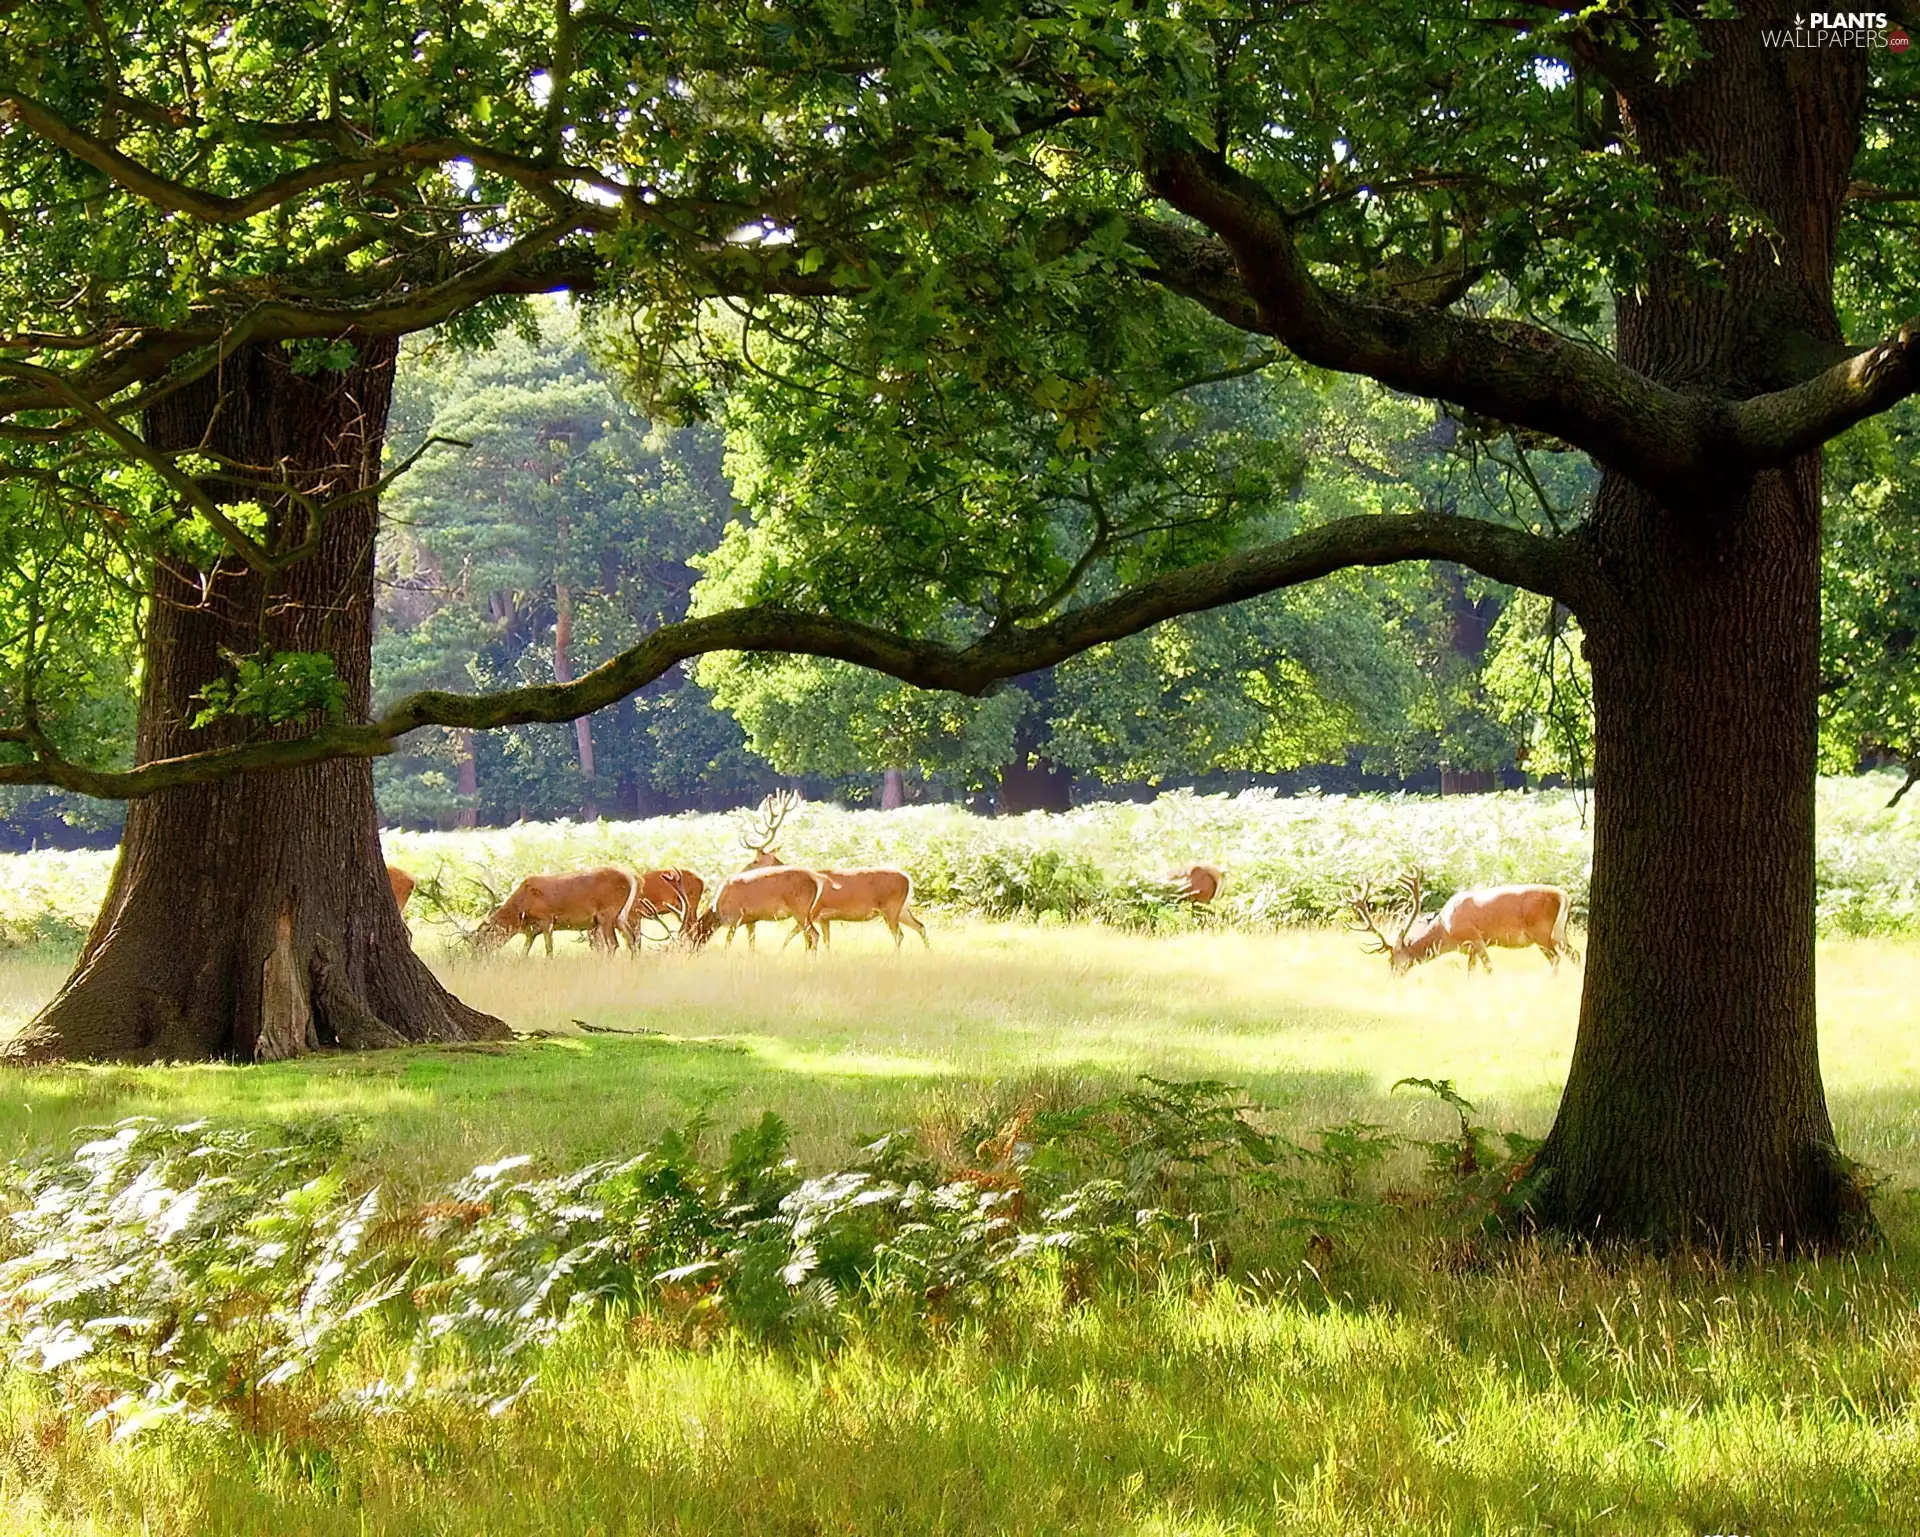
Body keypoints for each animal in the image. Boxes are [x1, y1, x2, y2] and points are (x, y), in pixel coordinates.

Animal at [737, 790, 929, 950]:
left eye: (755, 860)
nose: (741, 871)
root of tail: (908, 878)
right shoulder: (825, 919)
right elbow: (826, 943)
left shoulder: (811, 913)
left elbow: (792, 937)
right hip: (903, 909)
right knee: (920, 926)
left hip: (891, 907)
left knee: (899, 935)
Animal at [1349, 868, 1577, 975]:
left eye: (1392, 960)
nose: (1392, 978)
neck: (1446, 931)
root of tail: (1562, 895)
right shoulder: (1471, 950)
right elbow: (1471, 972)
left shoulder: (1475, 937)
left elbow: (1489, 968)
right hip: (1559, 932)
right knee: (1574, 953)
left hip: (1541, 931)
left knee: (1556, 958)